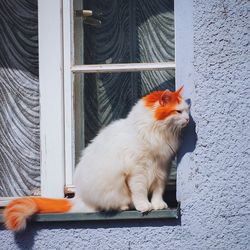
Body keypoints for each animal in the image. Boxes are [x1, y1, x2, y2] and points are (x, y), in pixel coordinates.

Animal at [3, 86, 189, 230]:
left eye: (187, 111)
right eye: (178, 111)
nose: (188, 119)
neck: (156, 133)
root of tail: (77, 199)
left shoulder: (162, 168)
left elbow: (158, 191)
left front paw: (158, 205)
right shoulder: (138, 171)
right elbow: (140, 192)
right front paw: (144, 206)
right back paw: (125, 205)